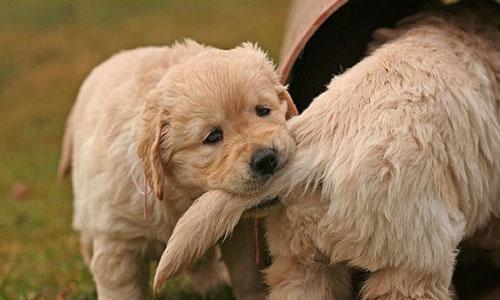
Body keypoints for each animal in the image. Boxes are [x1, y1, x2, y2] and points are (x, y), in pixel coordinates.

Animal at [57, 40, 296, 300]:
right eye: (213, 136)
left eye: (263, 110)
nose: (266, 159)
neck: (178, 196)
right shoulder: (117, 243)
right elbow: (121, 290)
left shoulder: (239, 231)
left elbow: (246, 272)